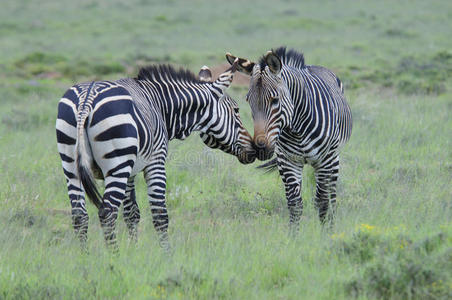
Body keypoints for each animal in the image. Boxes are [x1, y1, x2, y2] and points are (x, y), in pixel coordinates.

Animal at [54, 59, 256, 251]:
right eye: (236, 110)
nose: (254, 149)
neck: (160, 105)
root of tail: (86, 100)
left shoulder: (131, 171)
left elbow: (131, 213)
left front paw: (133, 253)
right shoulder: (155, 161)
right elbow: (160, 215)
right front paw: (167, 256)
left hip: (71, 165)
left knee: (79, 216)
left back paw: (85, 257)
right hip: (117, 165)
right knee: (107, 212)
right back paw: (114, 258)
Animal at [226, 48, 354, 233]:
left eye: (275, 100)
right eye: (248, 101)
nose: (260, 149)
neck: (296, 129)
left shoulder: (324, 159)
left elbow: (323, 202)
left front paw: (325, 236)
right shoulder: (287, 161)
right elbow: (294, 204)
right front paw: (293, 236)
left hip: (333, 157)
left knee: (330, 194)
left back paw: (330, 226)